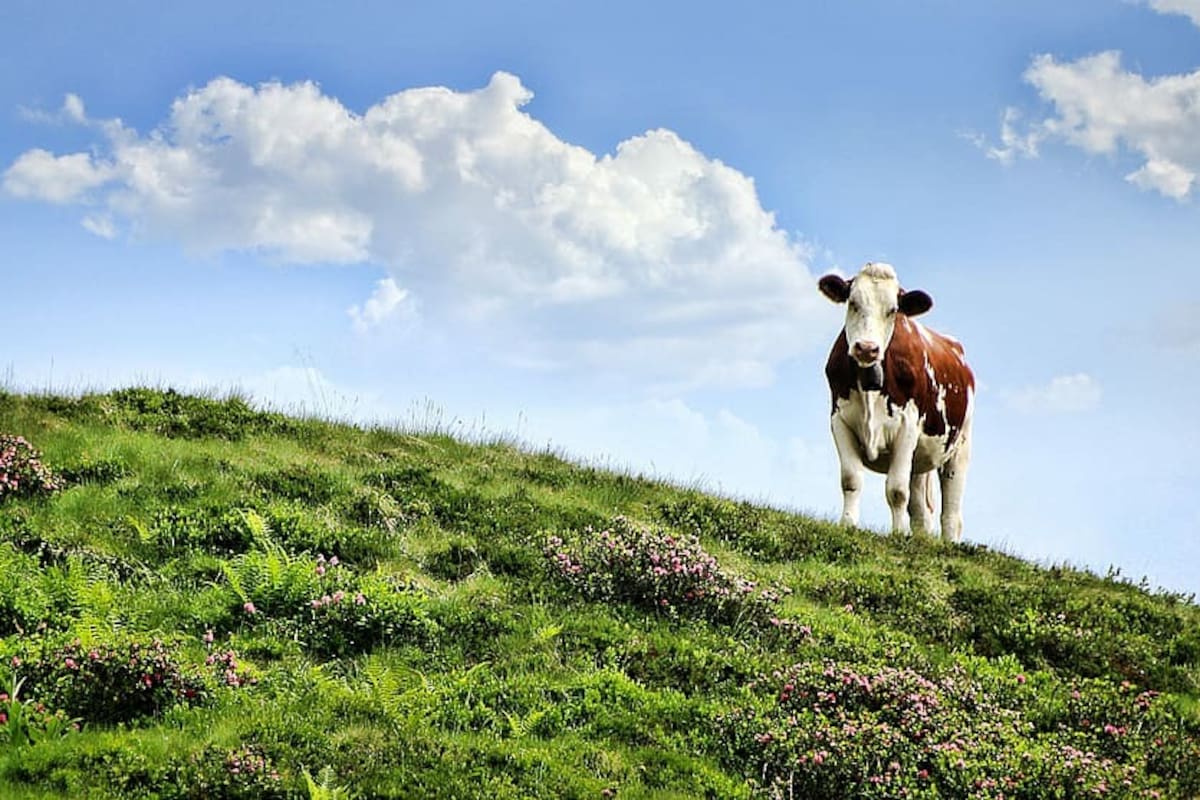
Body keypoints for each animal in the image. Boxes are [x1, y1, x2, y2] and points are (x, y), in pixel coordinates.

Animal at [818, 262, 974, 541]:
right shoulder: (839, 421)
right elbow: (851, 479)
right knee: (921, 509)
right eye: (853, 303)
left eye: (892, 311)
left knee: (951, 513)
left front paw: (899, 533)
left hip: (960, 447)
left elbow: (897, 490)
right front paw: (848, 523)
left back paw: (950, 543)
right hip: (920, 460)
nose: (866, 348)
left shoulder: (907, 427)